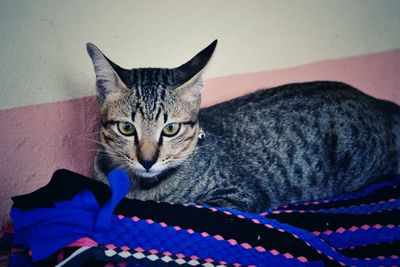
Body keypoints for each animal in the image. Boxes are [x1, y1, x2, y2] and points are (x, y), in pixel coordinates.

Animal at [86, 41, 398, 214]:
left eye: (171, 129)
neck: (139, 186)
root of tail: (376, 101)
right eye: (127, 129)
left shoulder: (237, 195)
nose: (148, 160)